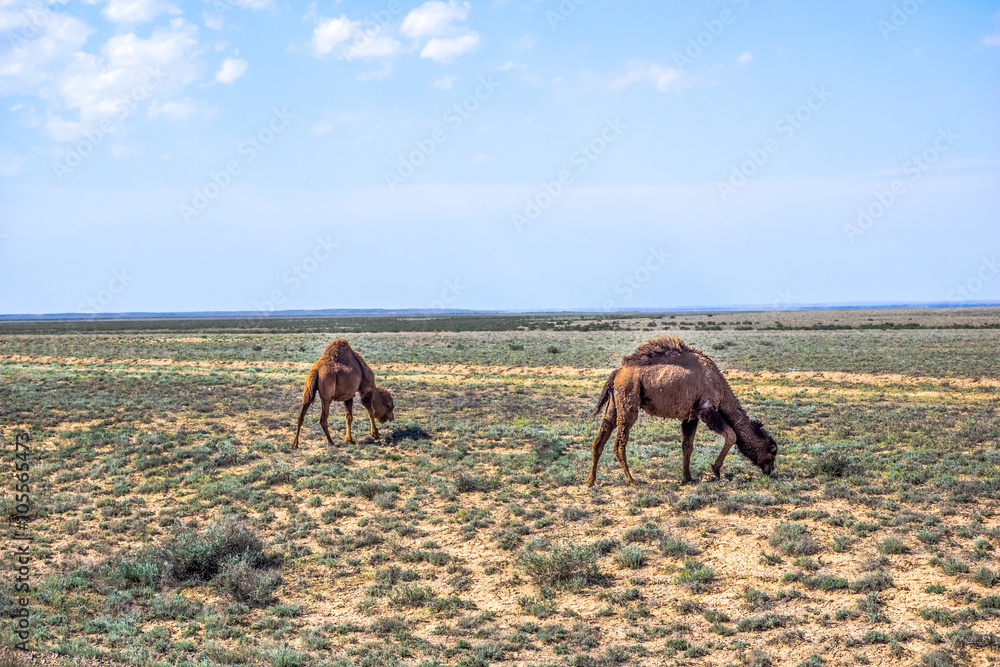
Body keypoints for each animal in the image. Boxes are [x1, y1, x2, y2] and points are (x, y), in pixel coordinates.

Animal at [584, 340, 780, 486]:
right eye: (772, 452)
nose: (771, 471)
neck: (721, 388)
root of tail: (617, 373)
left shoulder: (691, 415)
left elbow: (688, 445)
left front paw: (687, 478)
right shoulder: (706, 409)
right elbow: (732, 435)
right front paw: (715, 470)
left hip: (614, 404)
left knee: (600, 438)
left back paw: (591, 480)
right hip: (628, 399)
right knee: (619, 442)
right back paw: (631, 480)